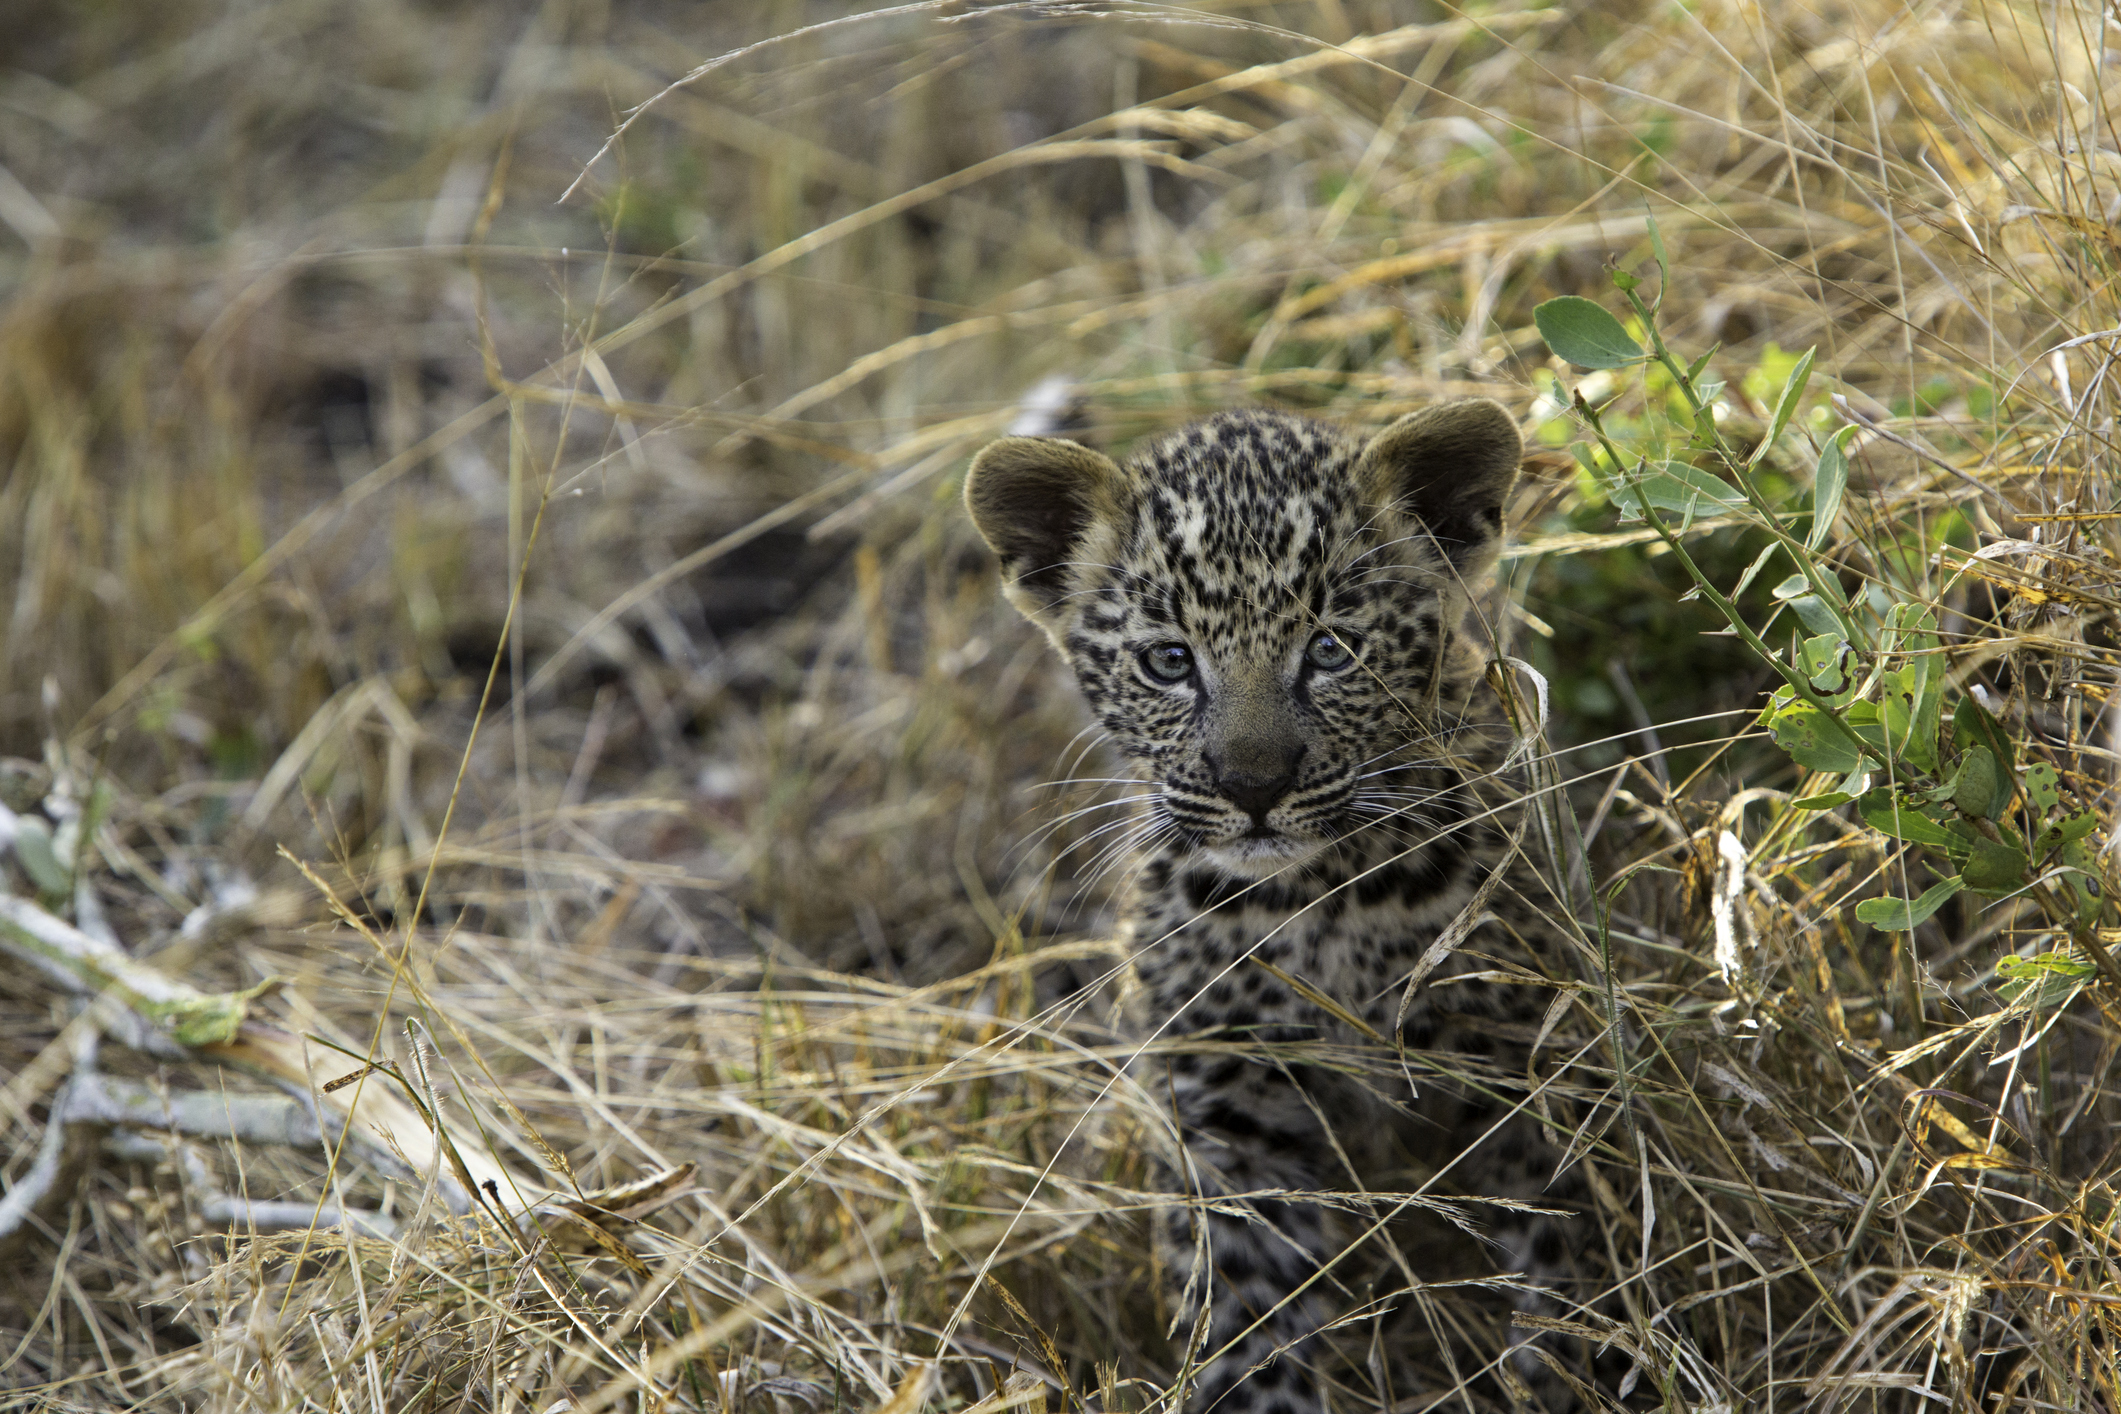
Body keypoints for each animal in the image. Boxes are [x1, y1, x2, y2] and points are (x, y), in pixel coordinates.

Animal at [964, 399, 1587, 1414]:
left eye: (1329, 649)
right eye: (1168, 661)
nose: (1252, 787)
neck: (1317, 902)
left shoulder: (1522, 1063)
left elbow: (1563, 1247)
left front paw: (1573, 1369)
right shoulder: (1226, 1113)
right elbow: (1244, 1313)